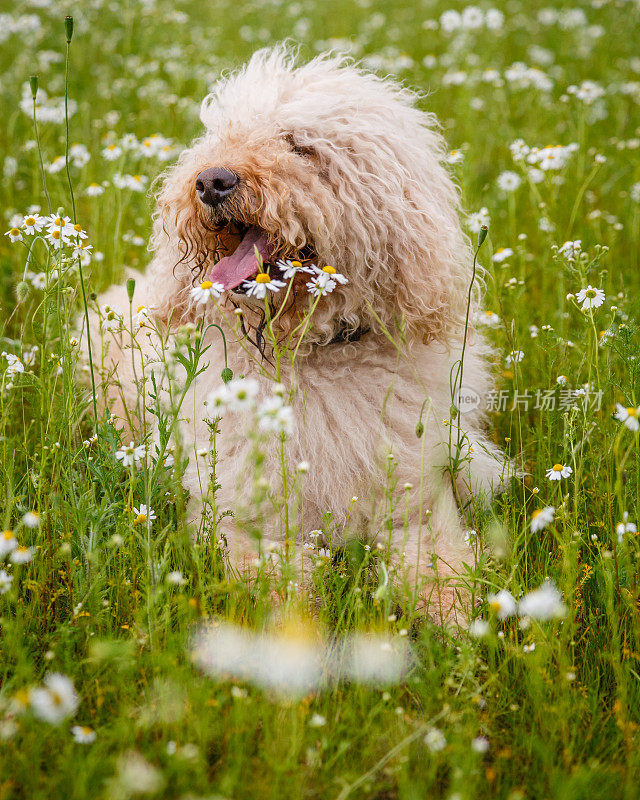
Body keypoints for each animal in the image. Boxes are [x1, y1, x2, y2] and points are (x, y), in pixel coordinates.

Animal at [95, 47, 504, 620]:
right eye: (225, 135)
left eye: (299, 146)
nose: (211, 182)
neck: (307, 354)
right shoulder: (246, 525)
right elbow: (285, 599)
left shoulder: (419, 513)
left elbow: (445, 585)